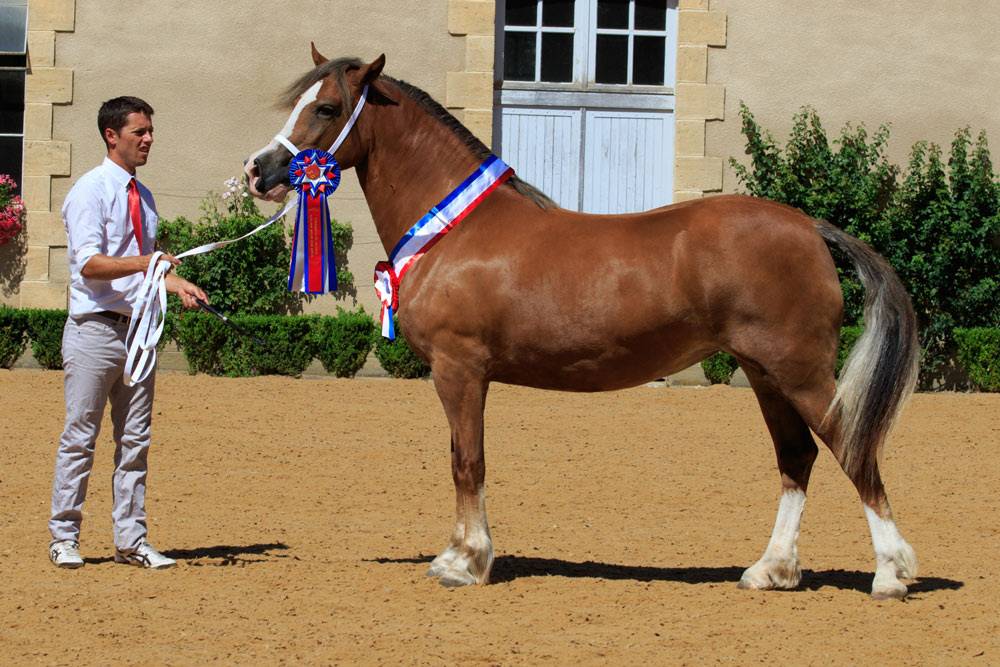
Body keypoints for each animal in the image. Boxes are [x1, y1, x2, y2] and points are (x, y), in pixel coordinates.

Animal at [243, 47, 920, 599]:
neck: (455, 230)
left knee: (851, 447)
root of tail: (808, 227)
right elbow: (461, 458)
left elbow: (469, 461)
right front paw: (458, 554)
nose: (259, 171)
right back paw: (771, 571)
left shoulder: (460, 370)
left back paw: (891, 574)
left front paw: (466, 562)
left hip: (799, 371)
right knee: (797, 456)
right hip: (764, 373)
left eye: (327, 107)